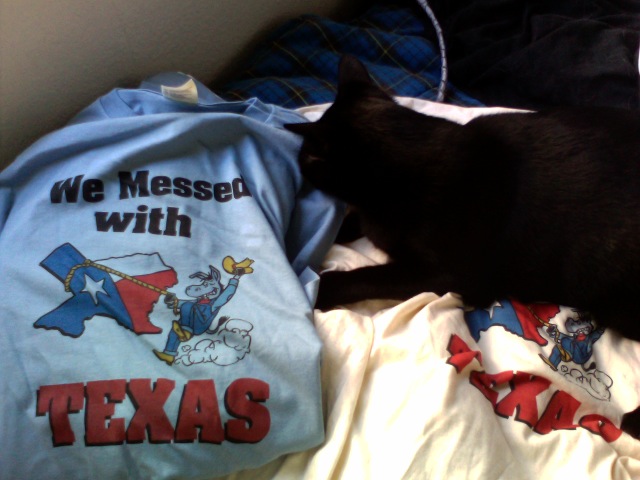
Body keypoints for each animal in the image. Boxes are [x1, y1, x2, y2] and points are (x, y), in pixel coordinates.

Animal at [285, 55, 640, 436]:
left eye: (305, 157)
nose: (297, 163)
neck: (407, 157)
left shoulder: (444, 274)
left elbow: (365, 277)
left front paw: (316, 289)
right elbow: (351, 224)